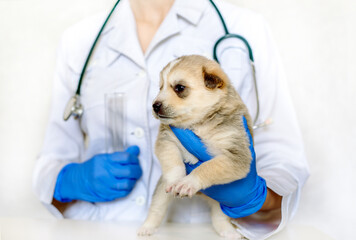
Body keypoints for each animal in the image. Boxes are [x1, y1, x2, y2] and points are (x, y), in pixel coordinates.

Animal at [137, 55, 253, 239]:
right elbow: (174, 163)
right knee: (157, 207)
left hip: (225, 201)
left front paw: (189, 182)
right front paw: (176, 179)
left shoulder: (234, 156)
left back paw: (228, 231)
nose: (154, 105)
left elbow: (207, 167)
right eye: (160, 87)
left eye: (179, 88)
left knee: (219, 216)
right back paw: (147, 227)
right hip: (160, 190)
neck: (198, 123)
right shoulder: (166, 140)